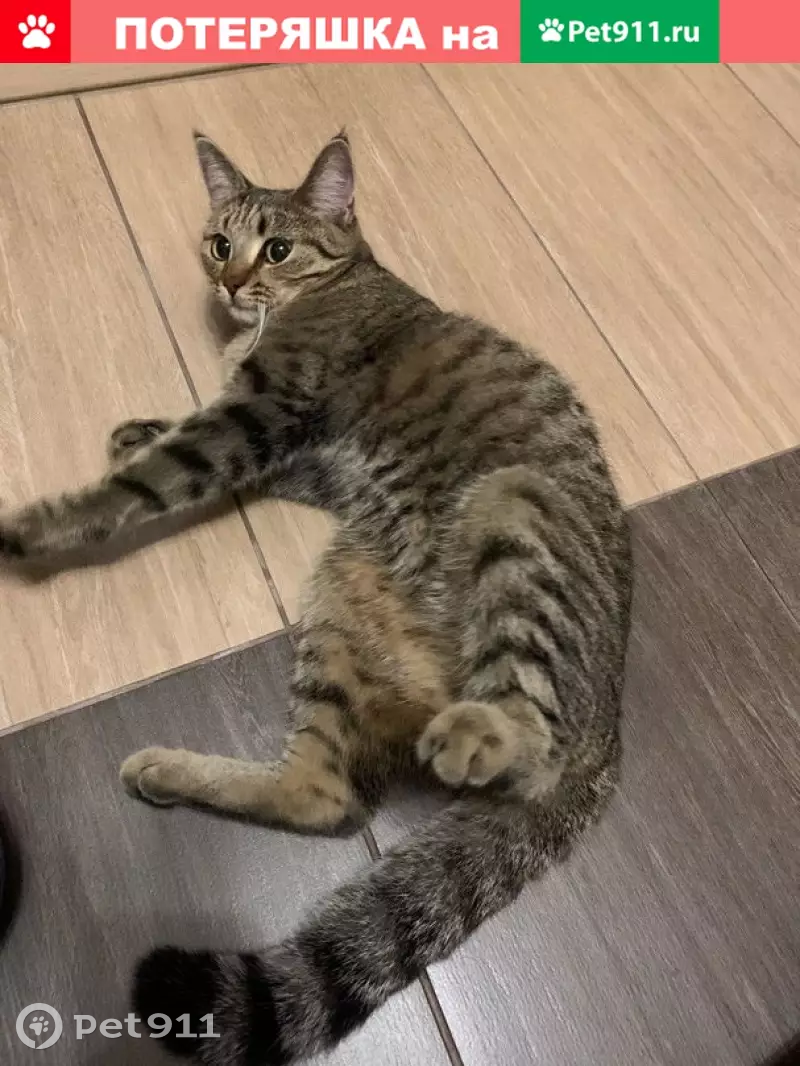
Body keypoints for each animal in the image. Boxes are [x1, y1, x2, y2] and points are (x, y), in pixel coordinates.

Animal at [0, 130, 633, 1064]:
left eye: (277, 248)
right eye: (218, 243)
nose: (229, 284)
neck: (331, 285)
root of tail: (608, 740)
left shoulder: (262, 414)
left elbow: (146, 482)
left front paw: (46, 521)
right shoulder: (289, 452)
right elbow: (170, 445)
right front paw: (136, 429)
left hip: (515, 508)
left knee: (528, 739)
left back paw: (479, 733)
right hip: (339, 602)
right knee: (323, 794)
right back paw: (172, 771)